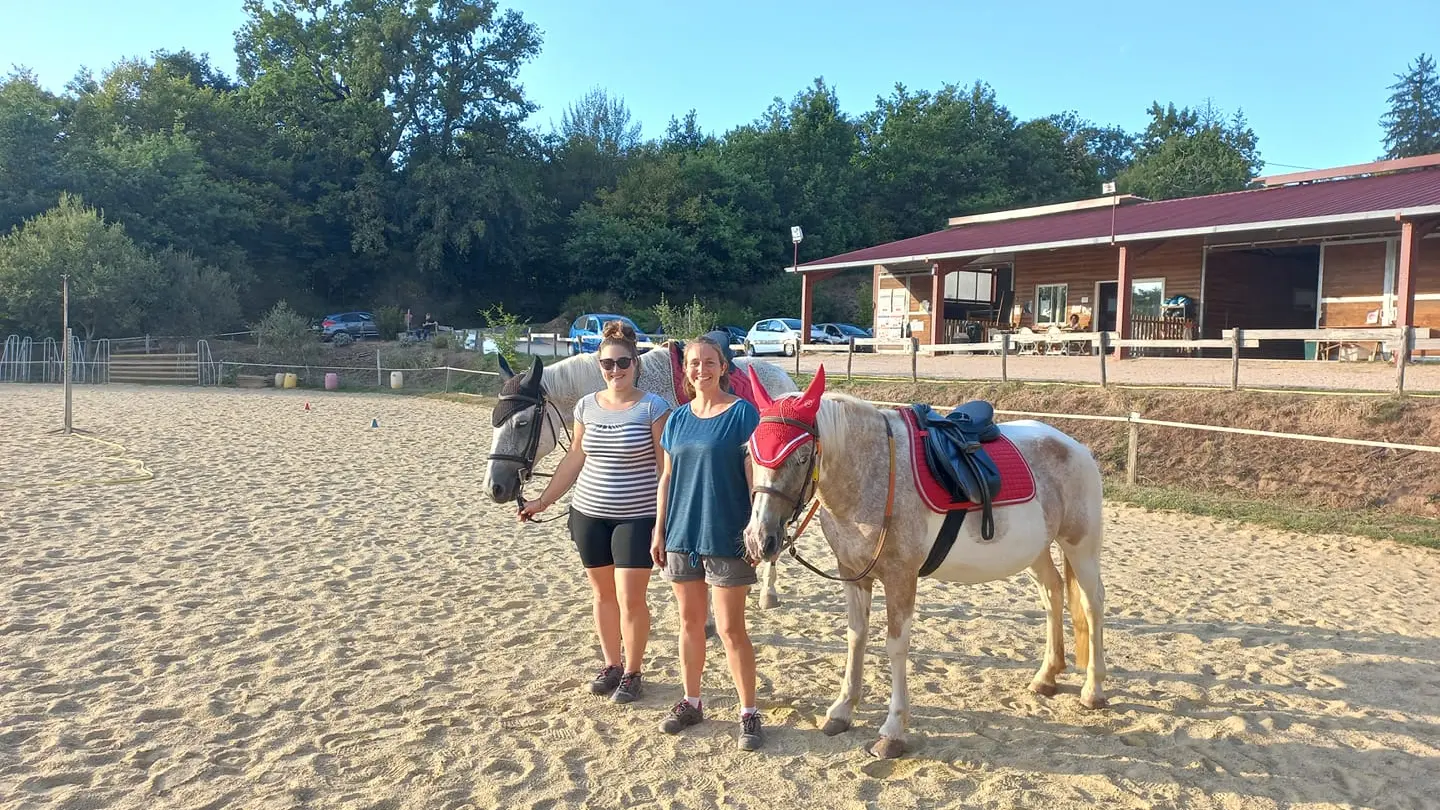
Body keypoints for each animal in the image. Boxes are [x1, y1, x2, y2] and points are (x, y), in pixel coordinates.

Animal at [737, 366, 1105, 755]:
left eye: (802, 456)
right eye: (751, 452)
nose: (759, 538)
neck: (873, 473)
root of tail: (1074, 446)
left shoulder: (901, 577)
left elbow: (896, 646)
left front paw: (893, 730)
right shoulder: (853, 573)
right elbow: (856, 636)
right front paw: (842, 709)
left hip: (1081, 546)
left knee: (1092, 604)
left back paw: (1093, 690)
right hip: (1036, 550)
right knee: (1053, 595)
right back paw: (1046, 676)